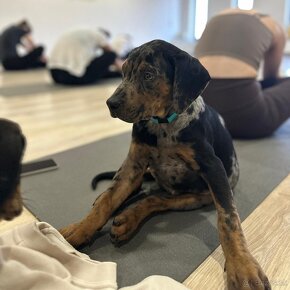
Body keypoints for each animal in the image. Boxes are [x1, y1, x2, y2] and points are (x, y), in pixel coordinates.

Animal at [60, 39, 270, 288]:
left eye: (148, 75)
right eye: (123, 72)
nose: (111, 103)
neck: (163, 125)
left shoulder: (214, 168)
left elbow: (228, 220)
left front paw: (242, 265)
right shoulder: (133, 165)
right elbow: (108, 200)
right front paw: (80, 229)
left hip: (198, 197)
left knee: (157, 199)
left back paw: (128, 218)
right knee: (137, 191)